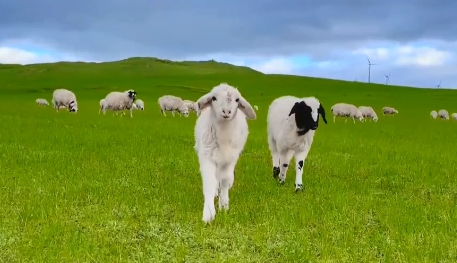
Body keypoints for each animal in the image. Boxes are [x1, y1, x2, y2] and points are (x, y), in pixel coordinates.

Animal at [193, 83, 256, 224]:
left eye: (237, 100)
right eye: (214, 98)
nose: (226, 111)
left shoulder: (230, 159)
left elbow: (225, 180)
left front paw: (224, 205)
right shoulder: (207, 157)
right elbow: (209, 182)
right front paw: (208, 213)